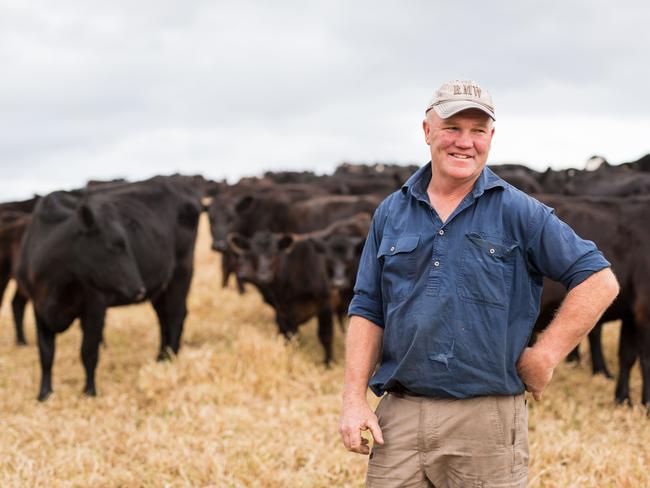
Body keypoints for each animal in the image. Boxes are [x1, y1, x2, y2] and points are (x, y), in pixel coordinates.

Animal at [15, 175, 202, 400]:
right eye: (113, 246)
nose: (138, 289)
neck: (57, 284)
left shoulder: (95, 304)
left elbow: (88, 351)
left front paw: (89, 391)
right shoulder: (39, 307)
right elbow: (46, 353)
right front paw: (44, 394)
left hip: (181, 272)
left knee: (176, 315)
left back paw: (171, 358)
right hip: (160, 286)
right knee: (164, 318)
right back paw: (161, 357)